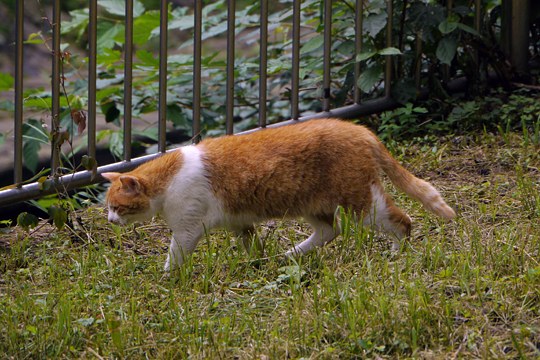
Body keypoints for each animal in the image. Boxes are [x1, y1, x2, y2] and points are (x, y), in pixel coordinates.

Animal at [102, 118, 456, 270]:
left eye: (117, 207)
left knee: (402, 220)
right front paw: (257, 263)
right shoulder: (239, 223)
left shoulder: (188, 229)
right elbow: (252, 246)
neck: (169, 178)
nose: (109, 220)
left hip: (362, 204)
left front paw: (167, 276)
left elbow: (175, 255)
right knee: (330, 231)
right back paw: (289, 255)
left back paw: (397, 253)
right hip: (315, 205)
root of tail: (357, 128)